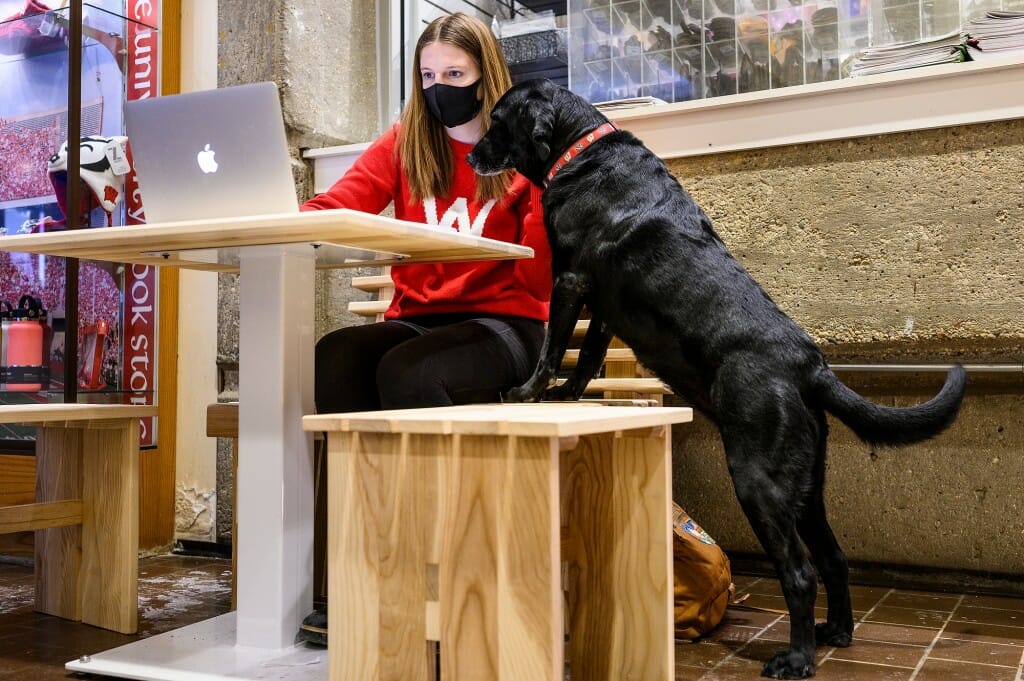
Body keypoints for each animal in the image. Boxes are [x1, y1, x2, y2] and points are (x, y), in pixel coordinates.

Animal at [468, 78, 962, 675]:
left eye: (497, 120)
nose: (469, 155)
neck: (580, 148)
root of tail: (810, 364)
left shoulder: (570, 280)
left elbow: (553, 347)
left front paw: (528, 392)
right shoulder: (604, 306)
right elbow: (585, 359)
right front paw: (566, 395)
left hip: (758, 479)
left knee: (800, 573)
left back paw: (796, 659)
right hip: (805, 484)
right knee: (834, 558)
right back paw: (837, 632)